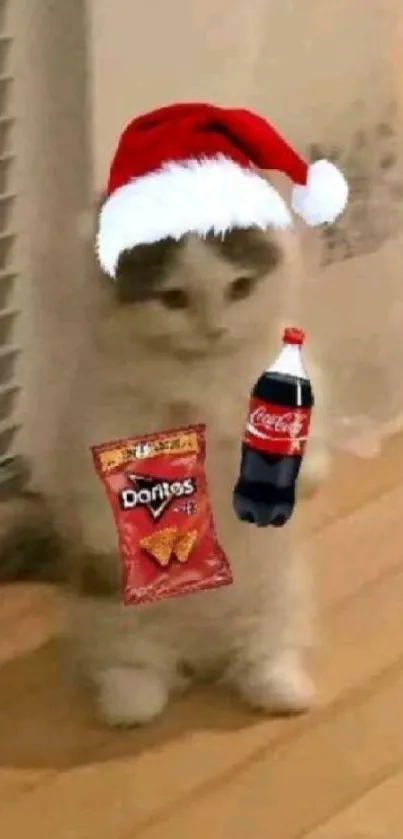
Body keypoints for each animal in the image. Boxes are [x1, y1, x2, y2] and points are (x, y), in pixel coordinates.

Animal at [0, 226, 332, 724]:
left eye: (239, 288)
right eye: (174, 298)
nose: (213, 329)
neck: (201, 374)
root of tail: (203, 654)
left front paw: (299, 480)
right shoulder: (101, 417)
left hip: (279, 599)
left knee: (264, 655)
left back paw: (282, 689)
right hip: (116, 622)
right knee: (136, 672)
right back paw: (130, 702)